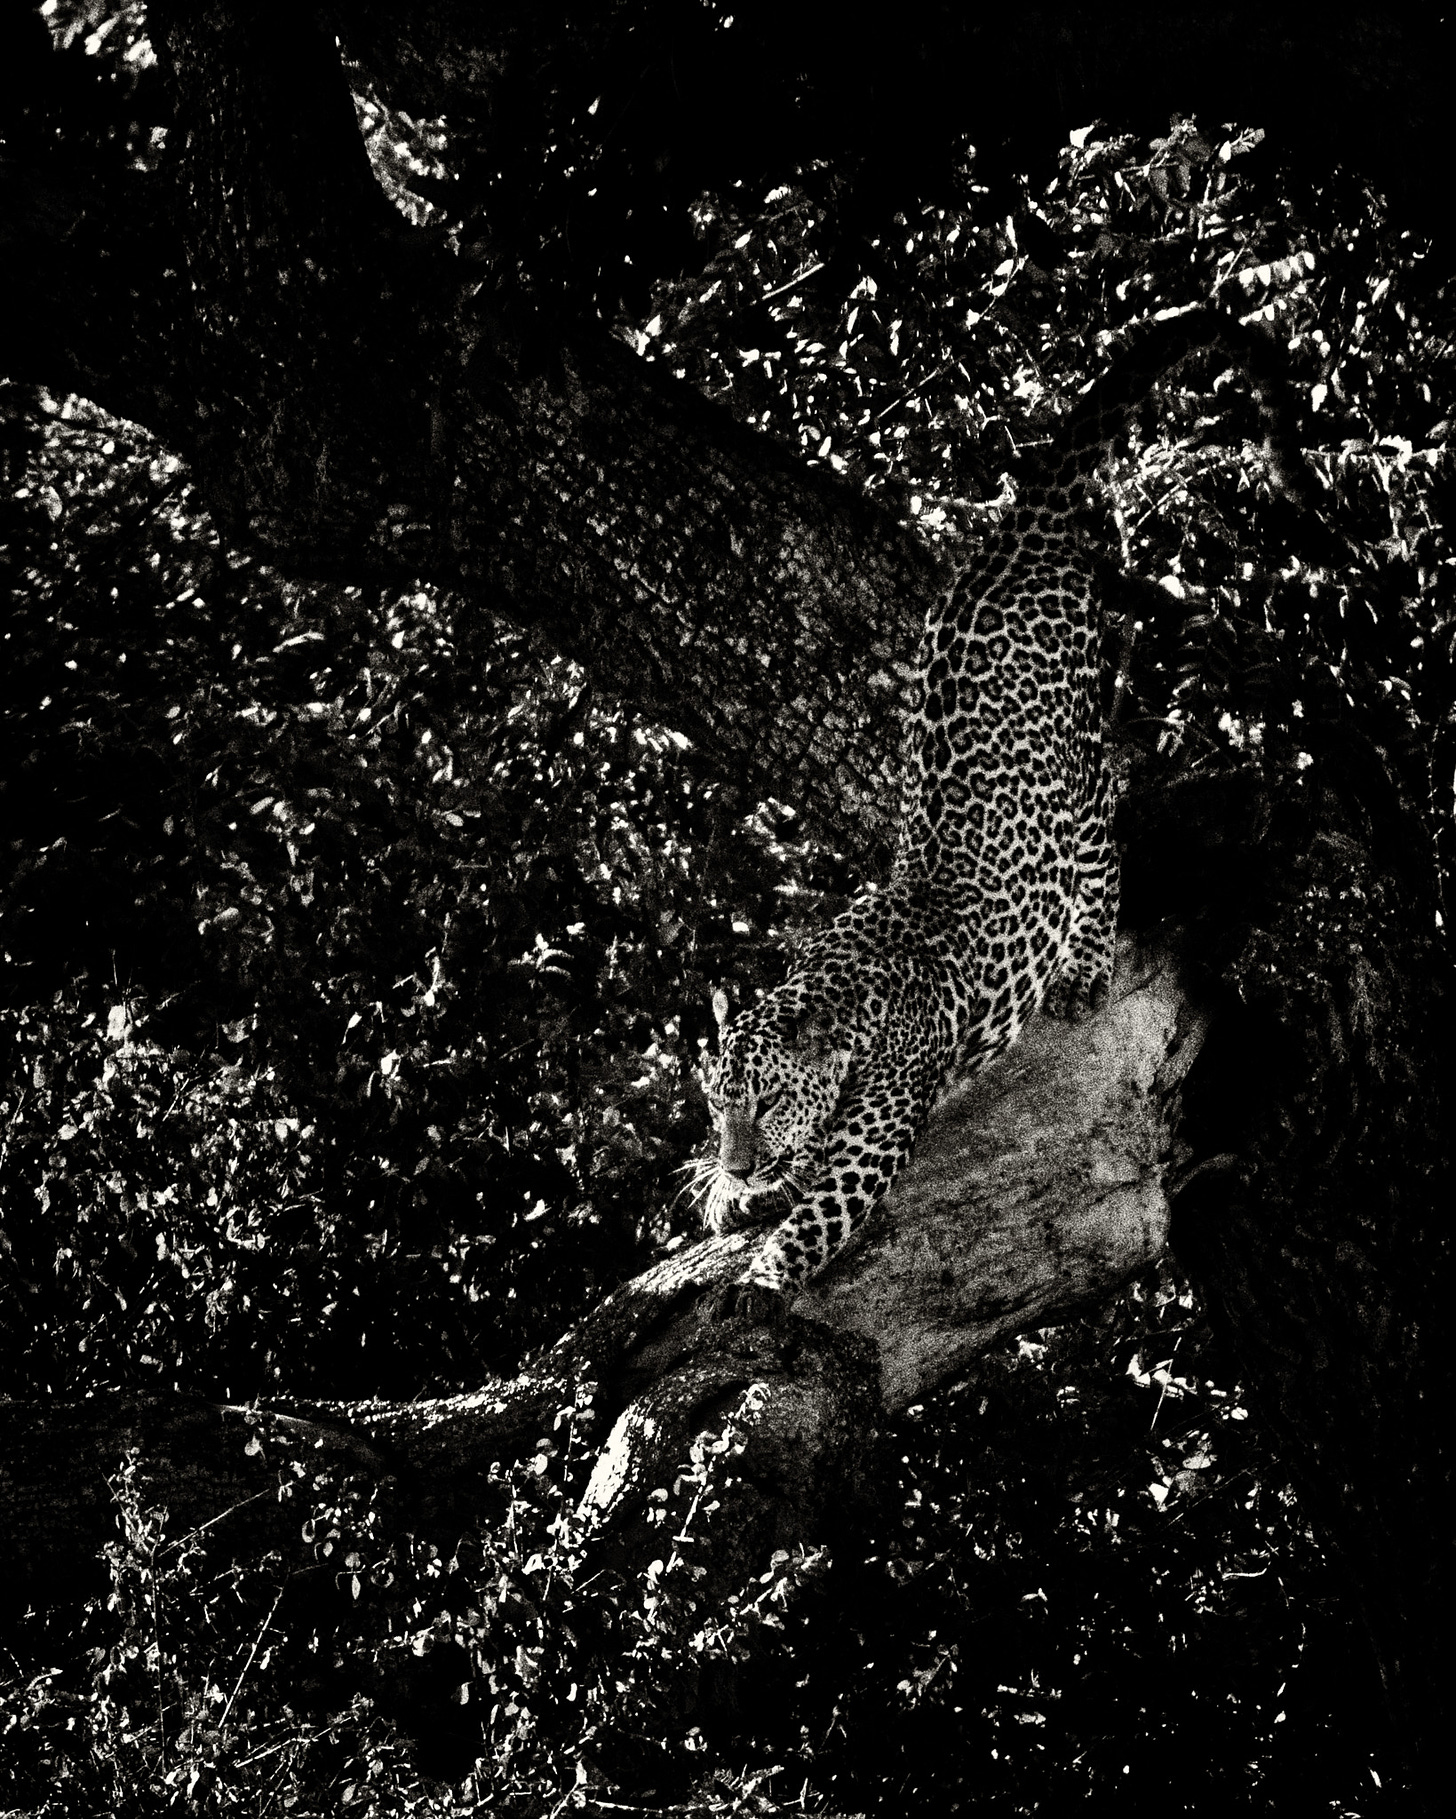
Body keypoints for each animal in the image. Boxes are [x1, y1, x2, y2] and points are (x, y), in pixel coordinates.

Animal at [700, 305, 1324, 1321]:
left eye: (764, 1101)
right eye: (719, 1103)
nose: (737, 1157)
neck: (834, 1003)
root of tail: (1024, 528)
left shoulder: (872, 1139)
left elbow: (819, 1210)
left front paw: (760, 1272)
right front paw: (727, 1194)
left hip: (1079, 750)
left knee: (1103, 848)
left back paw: (1082, 970)